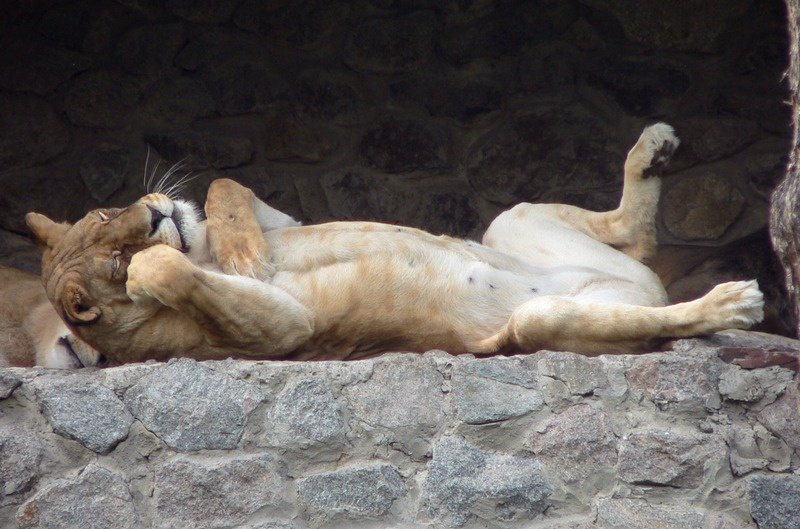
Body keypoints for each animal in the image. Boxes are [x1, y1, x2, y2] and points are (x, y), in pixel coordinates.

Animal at [24, 123, 764, 365]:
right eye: (111, 259)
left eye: (102, 212)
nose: (152, 215)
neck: (196, 249)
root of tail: (641, 288)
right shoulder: (281, 333)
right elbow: (170, 272)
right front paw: (156, 265)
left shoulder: (280, 219)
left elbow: (225, 188)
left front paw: (239, 250)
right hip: (540, 321)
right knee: (654, 311)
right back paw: (731, 303)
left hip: (512, 219)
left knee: (635, 235)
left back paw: (655, 150)